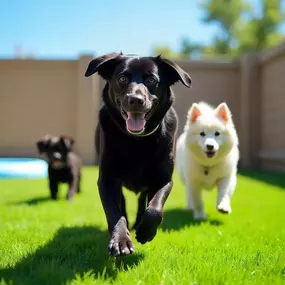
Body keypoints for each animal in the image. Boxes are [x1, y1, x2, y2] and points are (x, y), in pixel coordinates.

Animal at [84, 52, 191, 255]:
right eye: (122, 78)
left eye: (151, 80)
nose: (135, 99)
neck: (137, 141)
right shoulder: (107, 179)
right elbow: (114, 212)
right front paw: (120, 240)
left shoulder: (164, 180)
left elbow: (155, 209)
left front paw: (145, 231)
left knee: (143, 200)